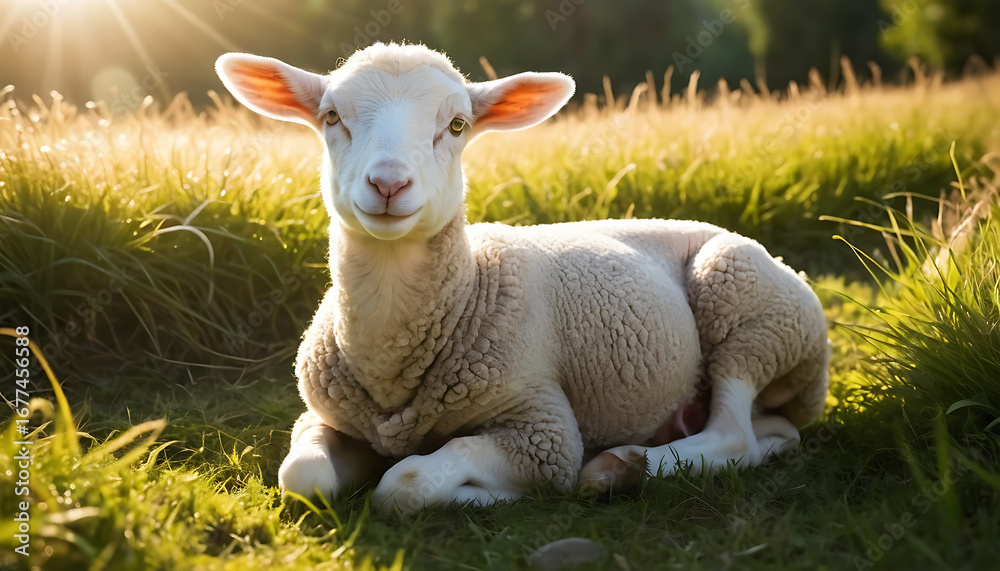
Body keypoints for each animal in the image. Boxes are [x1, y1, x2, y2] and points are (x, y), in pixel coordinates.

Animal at [215, 42, 831, 513]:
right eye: (331, 117)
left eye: (457, 125)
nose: (389, 184)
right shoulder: (325, 417)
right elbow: (303, 478)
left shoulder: (542, 428)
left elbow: (405, 483)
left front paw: (490, 493)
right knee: (772, 435)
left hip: (752, 311)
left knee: (733, 436)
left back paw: (617, 468)